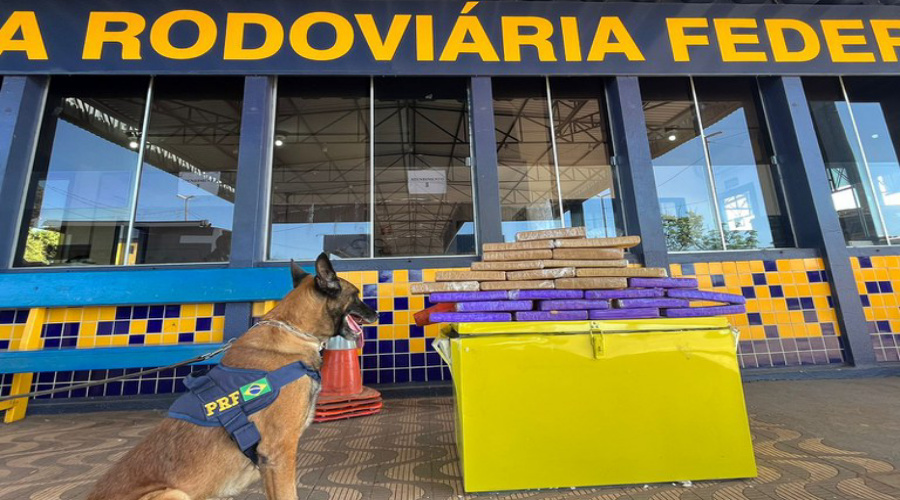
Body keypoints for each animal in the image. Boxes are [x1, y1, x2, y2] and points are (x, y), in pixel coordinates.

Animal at [86, 254, 374, 500]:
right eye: (357, 296)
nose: (377, 313)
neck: (294, 330)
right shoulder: (279, 451)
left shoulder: (270, 462)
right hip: (173, 494)